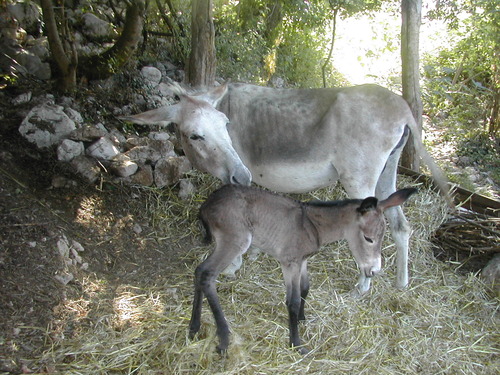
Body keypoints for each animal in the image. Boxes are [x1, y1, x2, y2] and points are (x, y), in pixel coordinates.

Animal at [189, 185, 416, 356]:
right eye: (368, 238)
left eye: (383, 235)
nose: (375, 270)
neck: (311, 224)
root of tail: (206, 204)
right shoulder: (290, 262)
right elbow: (293, 299)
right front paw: (296, 343)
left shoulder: (303, 261)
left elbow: (306, 288)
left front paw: (301, 318)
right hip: (234, 241)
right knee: (207, 275)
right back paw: (224, 339)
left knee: (199, 271)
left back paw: (194, 327)